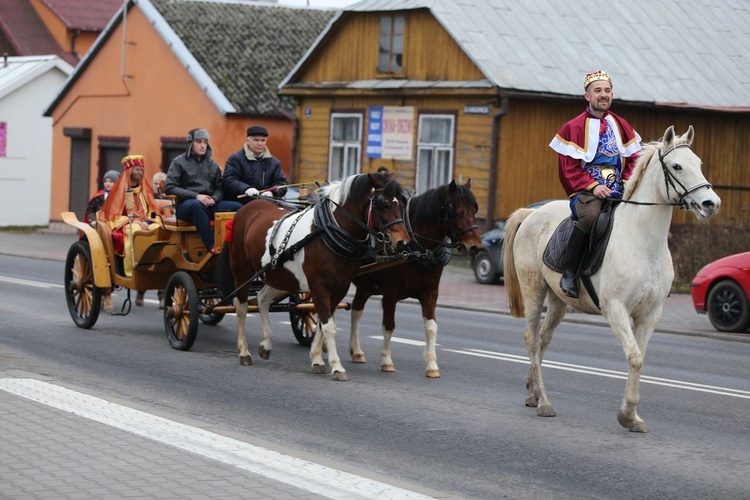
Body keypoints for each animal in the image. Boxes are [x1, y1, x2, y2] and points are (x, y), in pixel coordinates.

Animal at [217, 174, 412, 380]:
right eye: (383, 204)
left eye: (402, 203)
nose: (403, 243)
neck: (328, 232)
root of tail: (245, 209)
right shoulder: (319, 286)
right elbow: (328, 327)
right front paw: (336, 366)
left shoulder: (340, 287)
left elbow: (322, 323)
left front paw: (317, 358)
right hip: (242, 272)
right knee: (241, 308)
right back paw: (244, 352)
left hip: (278, 275)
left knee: (262, 299)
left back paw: (266, 344)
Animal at [352, 182, 484, 376]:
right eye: (458, 212)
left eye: (474, 211)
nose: (476, 247)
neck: (418, 250)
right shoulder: (390, 294)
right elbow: (389, 325)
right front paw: (387, 361)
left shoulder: (430, 294)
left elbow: (431, 327)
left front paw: (432, 365)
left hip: (364, 286)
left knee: (356, 311)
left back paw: (356, 351)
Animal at [506, 127, 724, 432]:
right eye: (677, 166)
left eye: (699, 163)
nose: (710, 204)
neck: (643, 241)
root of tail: (532, 213)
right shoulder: (616, 309)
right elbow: (634, 356)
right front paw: (627, 414)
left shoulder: (650, 314)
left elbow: (639, 359)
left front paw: (633, 417)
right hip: (533, 291)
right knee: (531, 339)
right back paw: (545, 403)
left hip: (558, 301)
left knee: (543, 339)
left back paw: (533, 394)